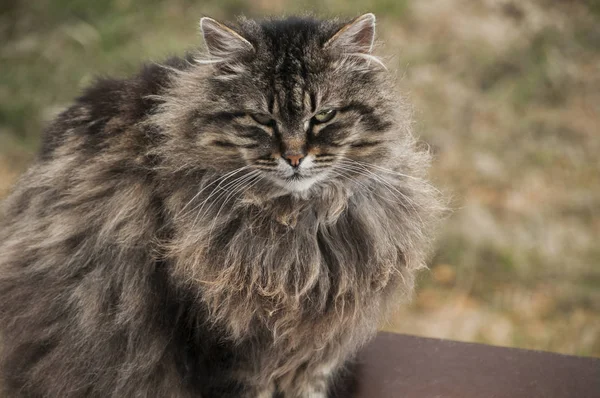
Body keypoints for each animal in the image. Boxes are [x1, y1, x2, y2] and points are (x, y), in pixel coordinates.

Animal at [0, 14, 440, 398]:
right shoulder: (222, 346)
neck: (300, 226)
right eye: (261, 119)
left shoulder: (314, 351)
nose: (294, 157)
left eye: (324, 116)